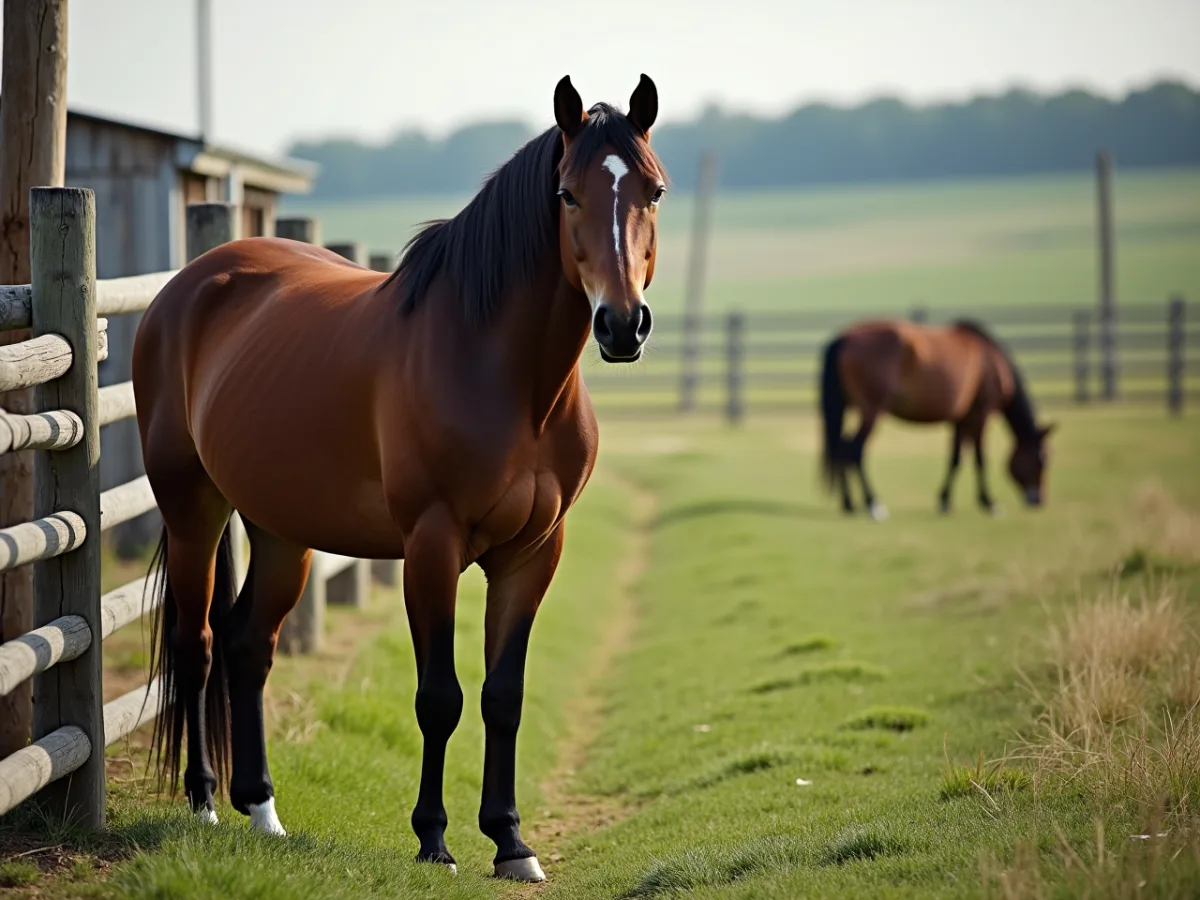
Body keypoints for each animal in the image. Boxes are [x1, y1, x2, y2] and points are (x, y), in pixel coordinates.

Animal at [132, 74, 667, 882]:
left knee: (247, 644)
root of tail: (188, 285)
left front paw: (511, 841)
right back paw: (202, 802)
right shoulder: (432, 546)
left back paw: (263, 811)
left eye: (654, 191)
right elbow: (439, 696)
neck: (503, 374)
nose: (622, 324)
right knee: (195, 645)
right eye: (568, 194)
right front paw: (434, 840)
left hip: (281, 529)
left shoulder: (533, 553)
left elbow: (503, 695)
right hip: (193, 506)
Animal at [818, 318, 1055, 520]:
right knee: (854, 450)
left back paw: (849, 504)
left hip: (850, 406)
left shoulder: (960, 418)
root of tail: (843, 337)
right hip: (872, 409)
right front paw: (989, 502)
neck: (992, 361)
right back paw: (873, 504)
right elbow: (979, 458)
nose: (1039, 500)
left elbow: (955, 458)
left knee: (841, 448)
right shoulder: (980, 413)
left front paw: (945, 501)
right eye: (1042, 460)